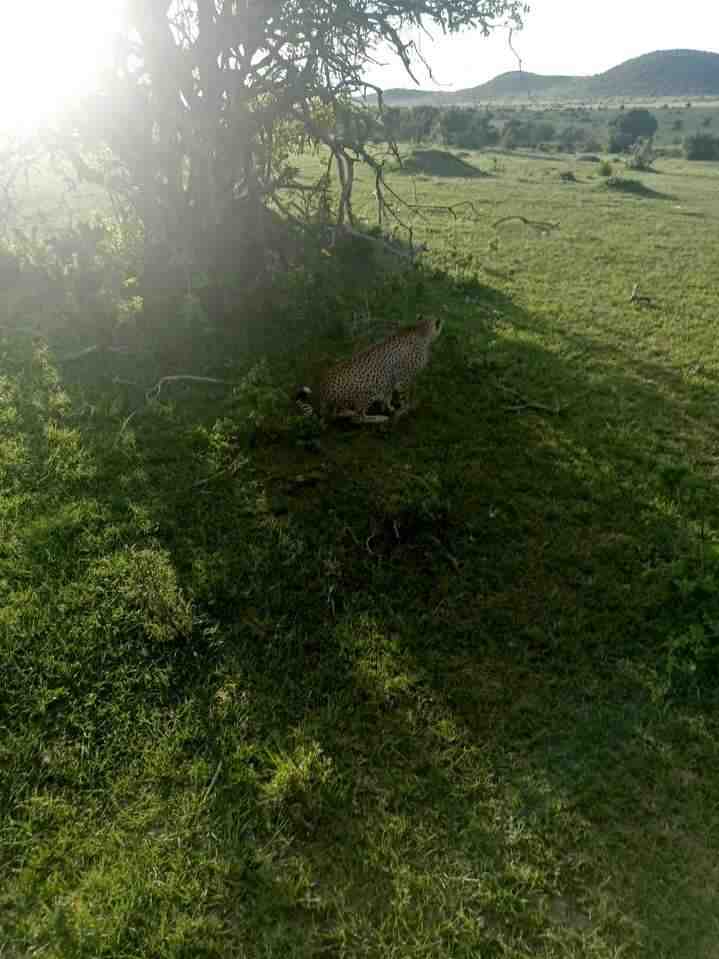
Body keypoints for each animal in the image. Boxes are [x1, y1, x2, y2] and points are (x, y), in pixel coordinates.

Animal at [295, 314, 443, 425]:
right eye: (438, 322)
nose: (442, 320)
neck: (419, 331)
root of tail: (321, 390)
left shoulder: (389, 378)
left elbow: (388, 395)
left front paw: (389, 407)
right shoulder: (403, 380)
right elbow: (403, 397)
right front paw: (405, 409)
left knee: (338, 413)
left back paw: (348, 412)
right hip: (368, 389)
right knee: (357, 419)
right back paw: (378, 418)